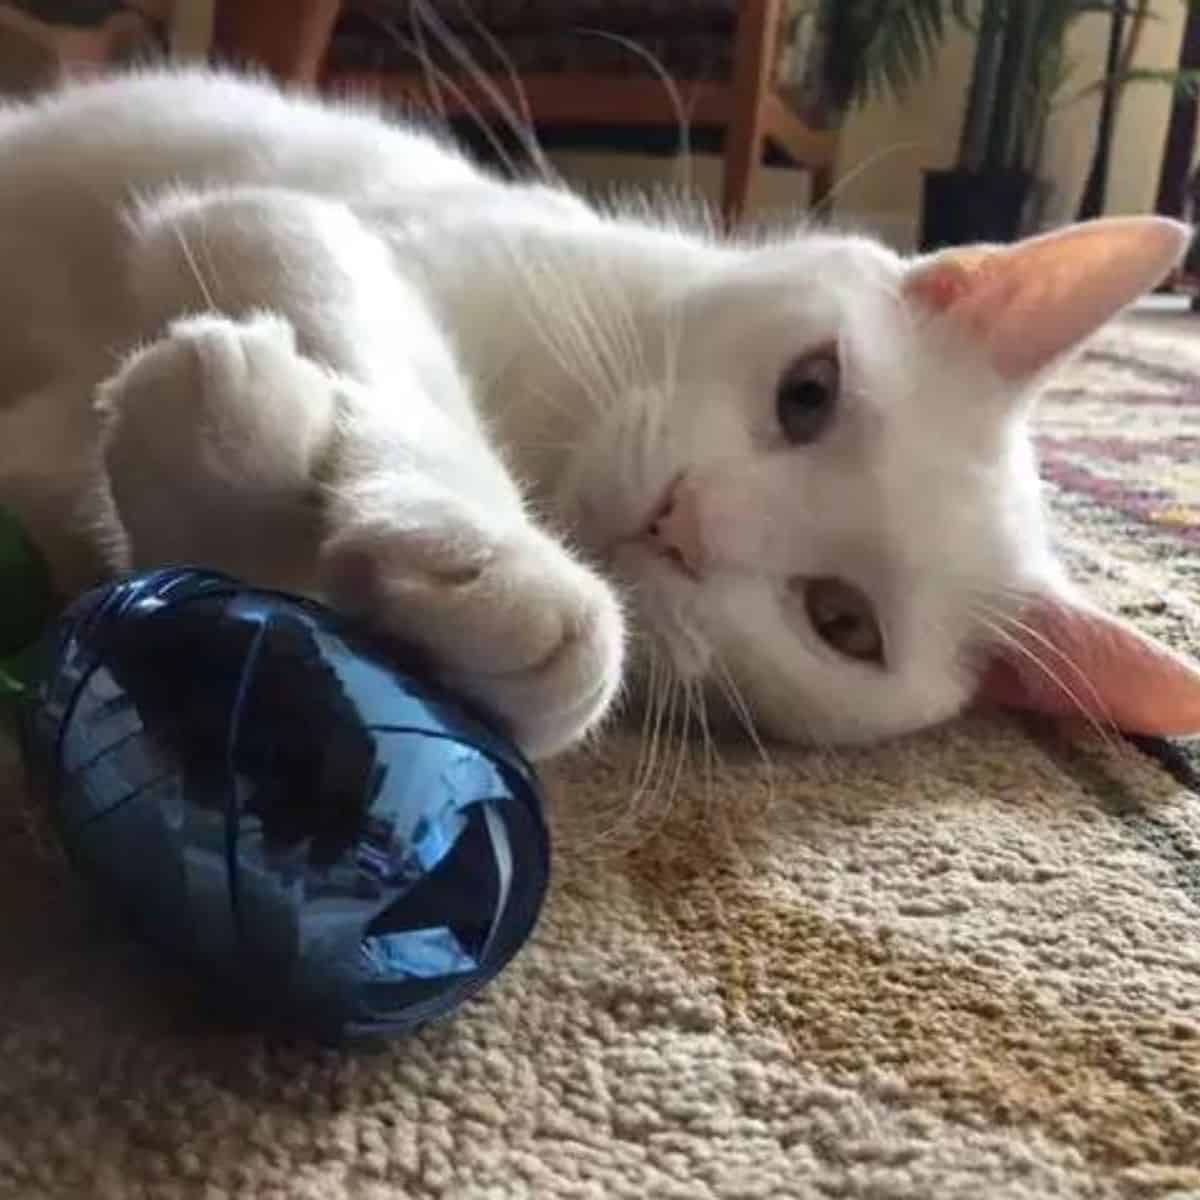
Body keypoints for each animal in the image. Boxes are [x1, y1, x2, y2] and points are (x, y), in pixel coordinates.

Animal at [2, 68, 1200, 758]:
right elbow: (392, 356)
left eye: (842, 624)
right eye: (809, 392)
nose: (680, 520)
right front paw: (496, 556)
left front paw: (211, 463)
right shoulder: (279, 217)